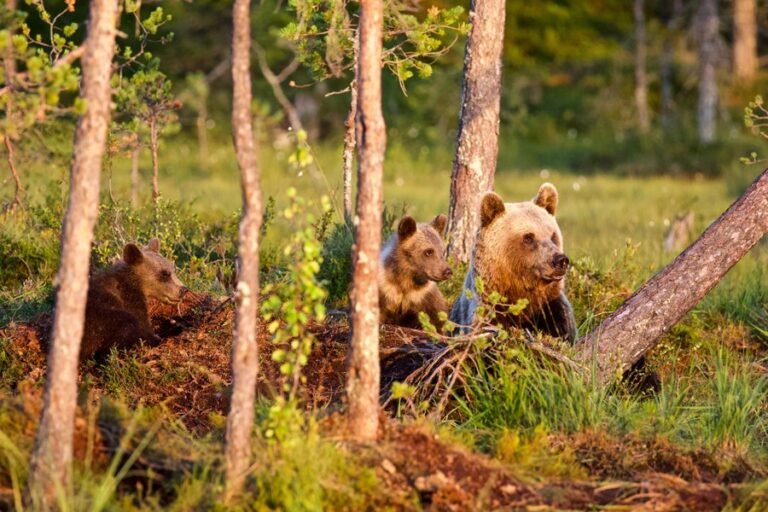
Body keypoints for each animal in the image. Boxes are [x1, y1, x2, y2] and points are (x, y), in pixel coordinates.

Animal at [450, 184, 577, 343]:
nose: (560, 260)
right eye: (528, 237)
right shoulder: (488, 310)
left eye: (553, 235)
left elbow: (562, 330)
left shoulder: (550, 306)